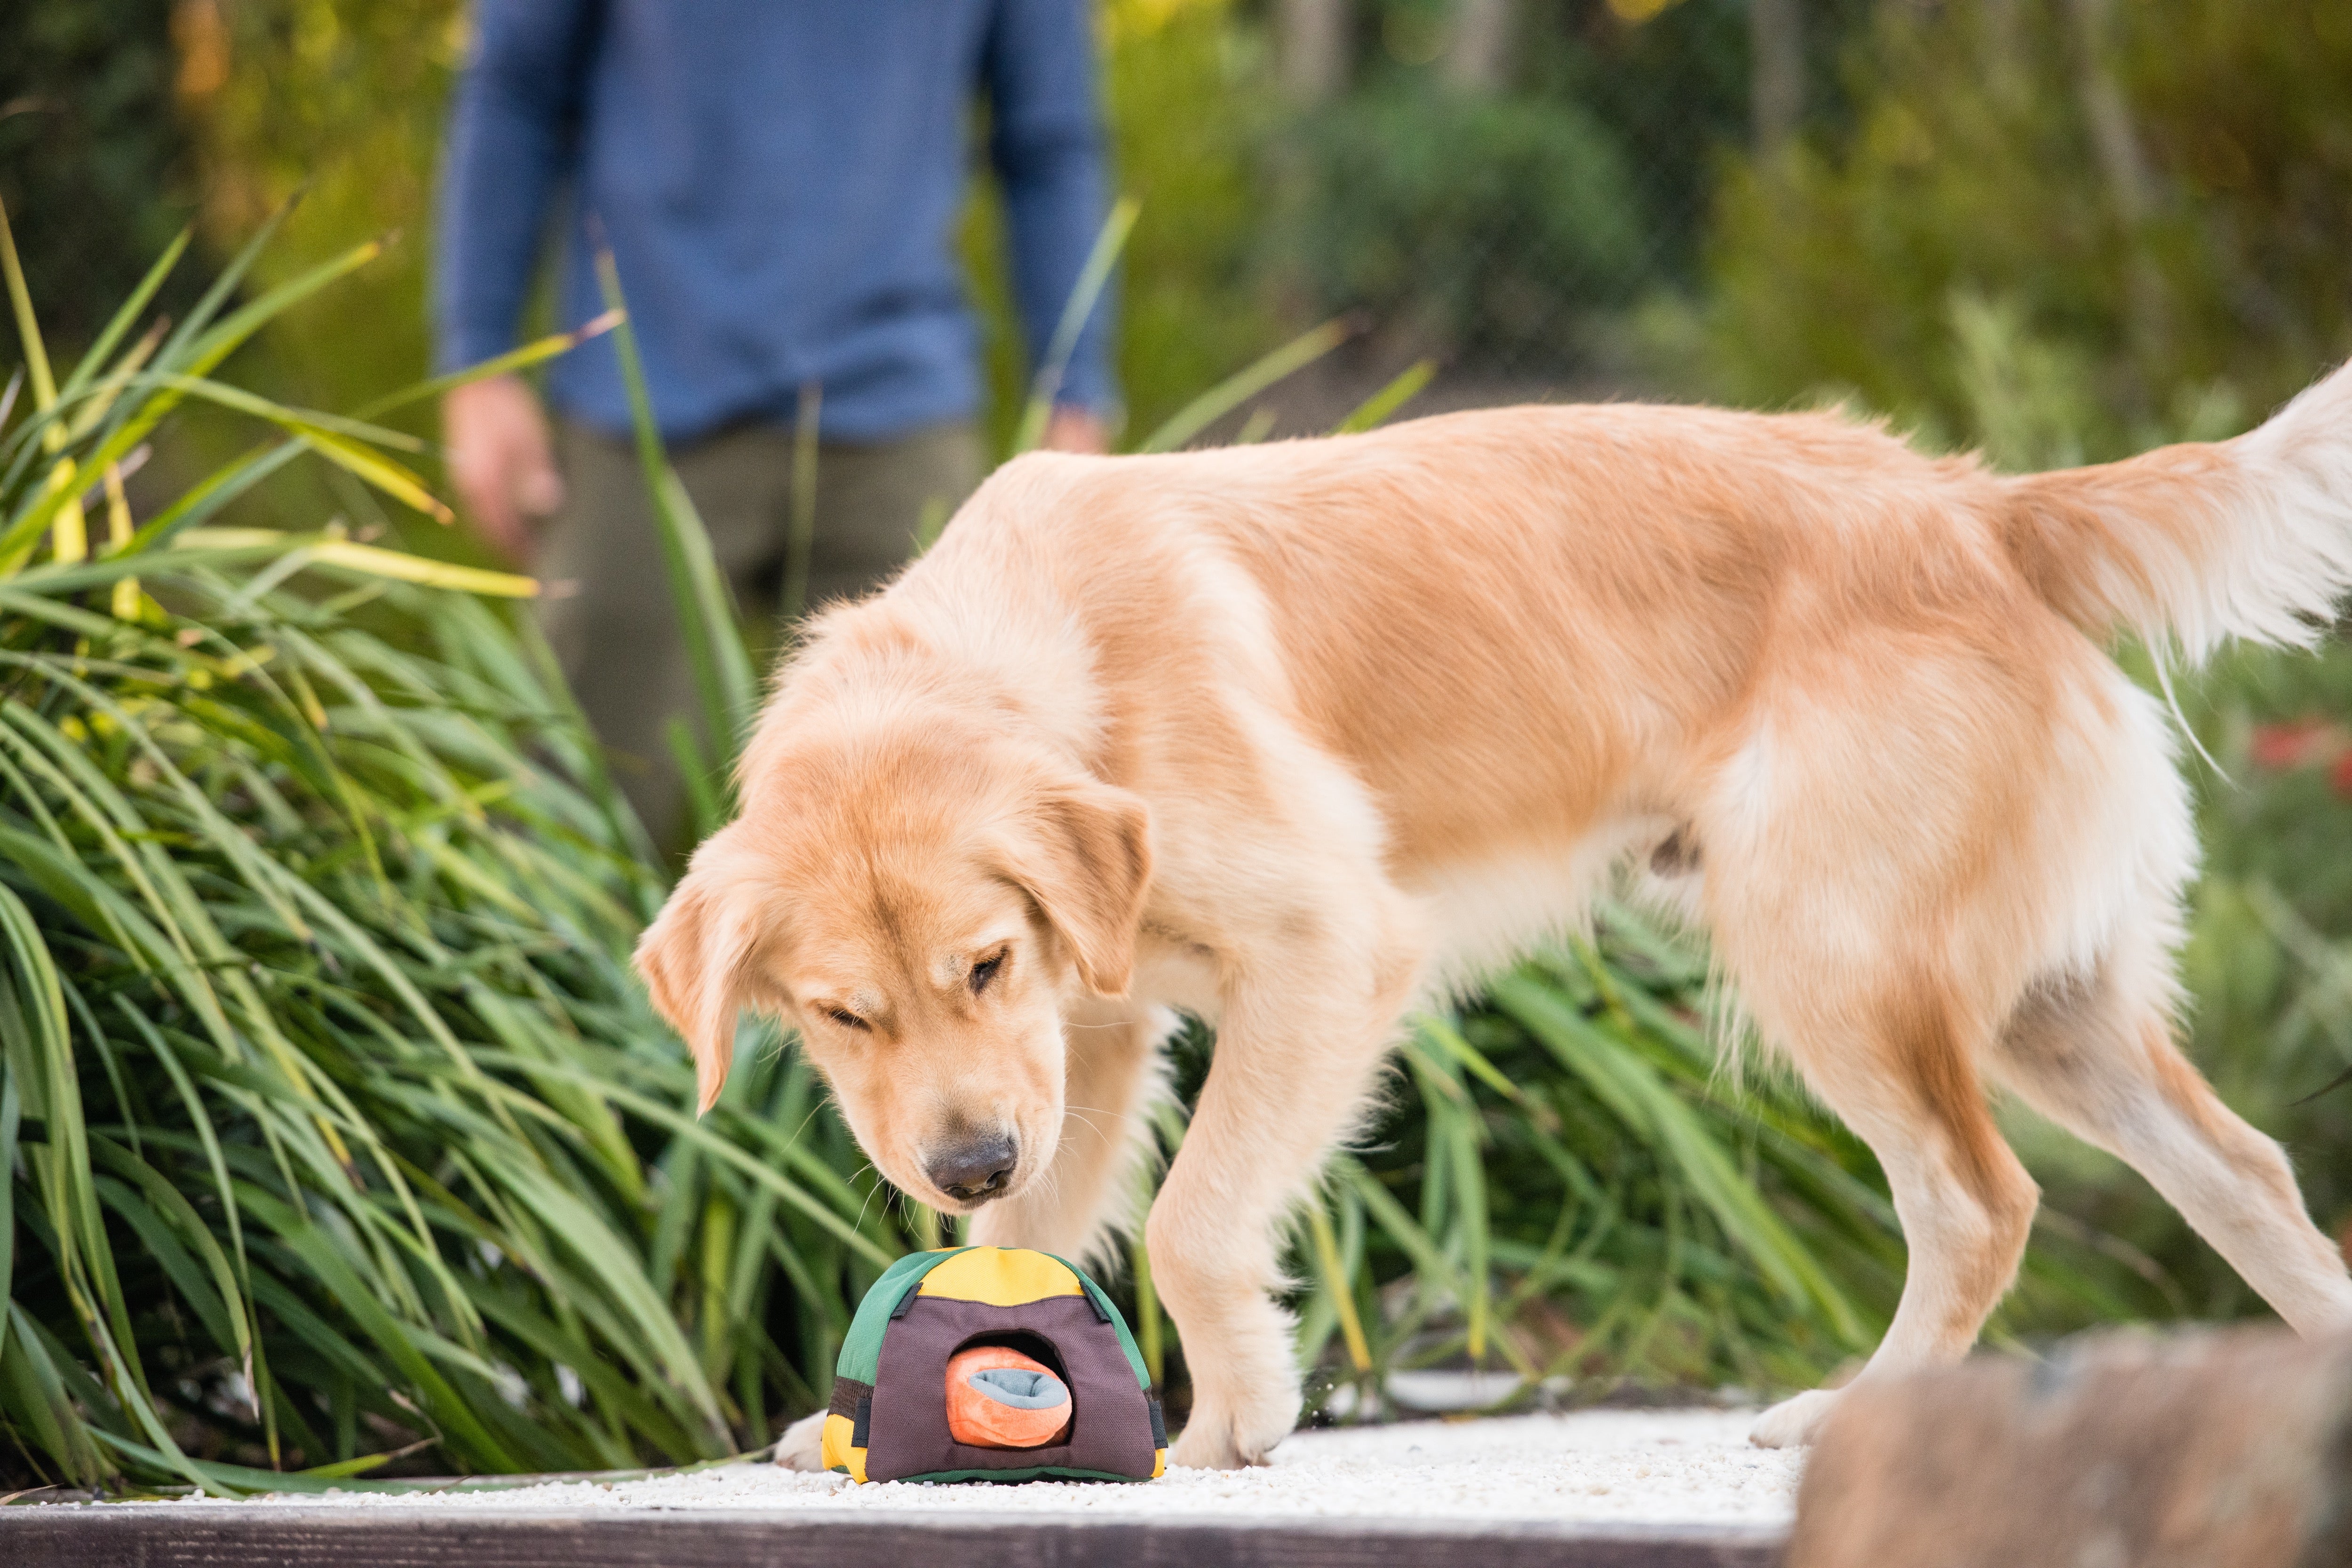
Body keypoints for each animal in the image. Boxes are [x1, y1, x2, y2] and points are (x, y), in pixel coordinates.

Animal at [630, 364, 2352, 1476]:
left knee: (1979, 1202)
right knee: (2250, 1172)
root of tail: (1984, 509)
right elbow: (1030, 1243)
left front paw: (1234, 1415)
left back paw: (1859, 1409)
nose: (965, 1157)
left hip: (1832, 961)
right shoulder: (1093, 1035)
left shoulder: (1327, 950)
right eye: (842, 1015)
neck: (1049, 650)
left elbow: (1194, 1218)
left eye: (981, 962)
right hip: (2048, 1009)